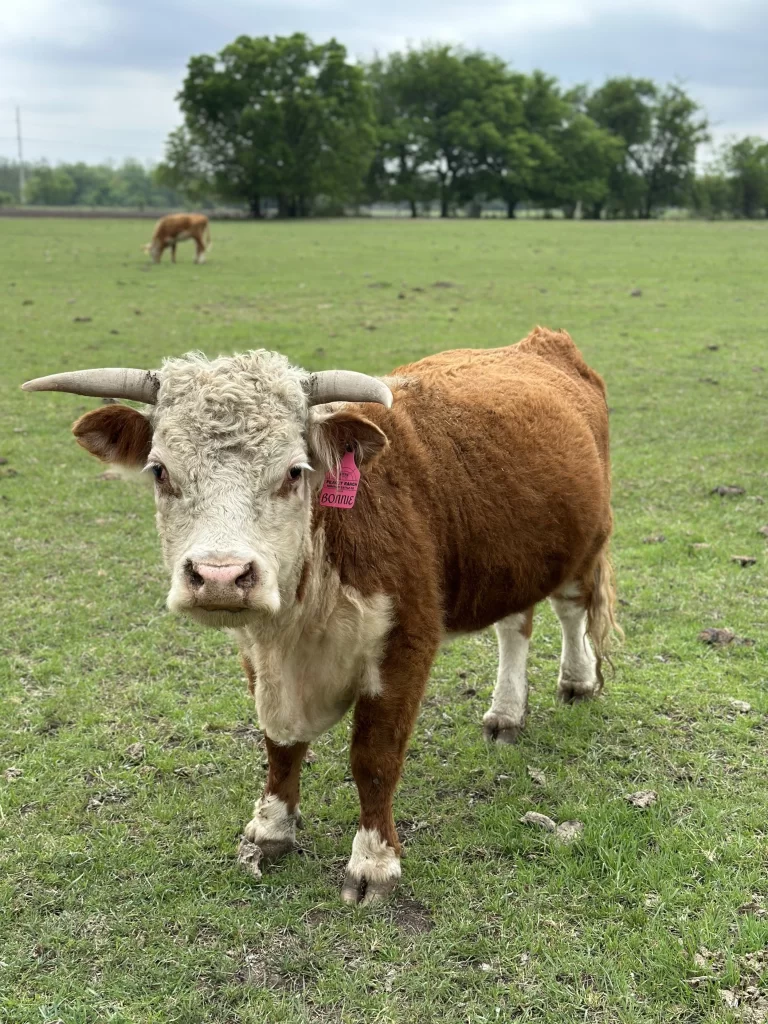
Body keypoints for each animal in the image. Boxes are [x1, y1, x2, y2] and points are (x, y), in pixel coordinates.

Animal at [24, 327, 622, 905]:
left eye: (294, 471)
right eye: (159, 470)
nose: (220, 576)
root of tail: (541, 343)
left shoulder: (406, 642)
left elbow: (374, 758)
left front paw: (374, 862)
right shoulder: (259, 653)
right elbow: (279, 743)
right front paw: (271, 827)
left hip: (586, 543)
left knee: (570, 610)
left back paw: (576, 680)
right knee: (514, 626)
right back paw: (505, 713)